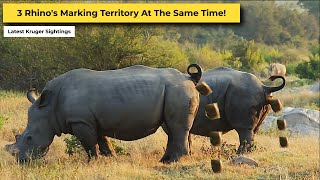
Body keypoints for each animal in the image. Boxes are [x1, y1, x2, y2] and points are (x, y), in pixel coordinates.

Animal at [5, 64, 205, 163]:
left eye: (29, 138)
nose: (21, 161)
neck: (49, 108)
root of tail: (189, 78)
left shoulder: (81, 121)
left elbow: (89, 144)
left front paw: (92, 162)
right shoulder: (91, 121)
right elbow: (102, 140)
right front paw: (111, 157)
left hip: (177, 90)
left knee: (177, 128)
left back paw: (172, 162)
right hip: (175, 91)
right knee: (172, 129)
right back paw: (166, 160)